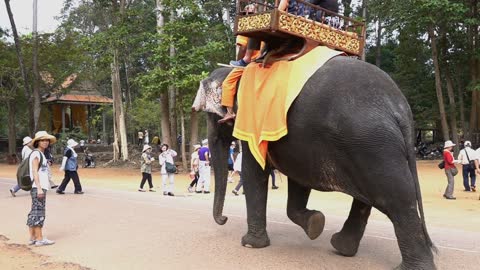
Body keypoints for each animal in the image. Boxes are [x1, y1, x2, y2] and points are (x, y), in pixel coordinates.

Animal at [193, 56, 436, 268]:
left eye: (212, 117)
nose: (224, 219)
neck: (238, 73)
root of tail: (399, 107)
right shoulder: (299, 146)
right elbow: (298, 179)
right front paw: (315, 224)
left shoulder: (254, 121)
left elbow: (255, 172)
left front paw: (250, 244)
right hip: (372, 147)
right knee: (371, 199)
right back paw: (341, 247)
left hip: (372, 144)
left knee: (396, 200)